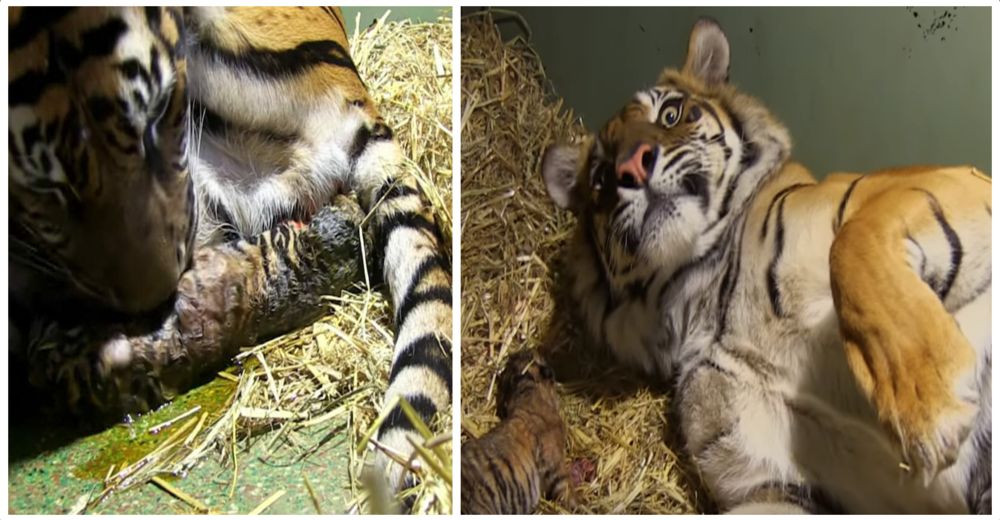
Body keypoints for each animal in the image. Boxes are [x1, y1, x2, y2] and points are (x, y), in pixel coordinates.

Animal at [544, 17, 988, 516]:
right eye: (600, 178)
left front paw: (932, 408)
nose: (631, 168)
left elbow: (851, 242)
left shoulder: (938, 185)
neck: (702, 297)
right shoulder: (767, 484)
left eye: (671, 115)